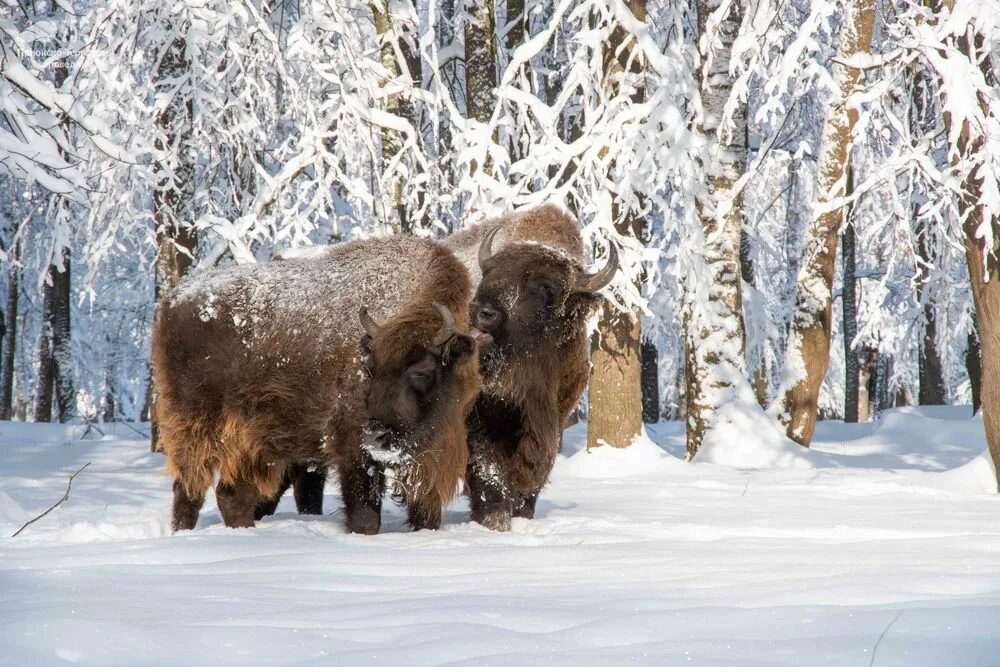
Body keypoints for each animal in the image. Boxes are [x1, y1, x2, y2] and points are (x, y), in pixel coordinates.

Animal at [154, 237, 482, 536]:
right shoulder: (352, 448)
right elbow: (365, 517)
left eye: (422, 371)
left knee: (233, 496)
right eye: (370, 369)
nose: (375, 435)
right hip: (197, 427)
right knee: (189, 489)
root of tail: (173, 300)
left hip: (254, 444)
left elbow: (425, 514)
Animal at [446, 204, 616, 532]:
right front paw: (494, 522)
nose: (481, 311)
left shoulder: (553, 419)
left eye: (544, 289)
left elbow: (534, 472)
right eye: (489, 273)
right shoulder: (478, 420)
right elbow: (488, 474)